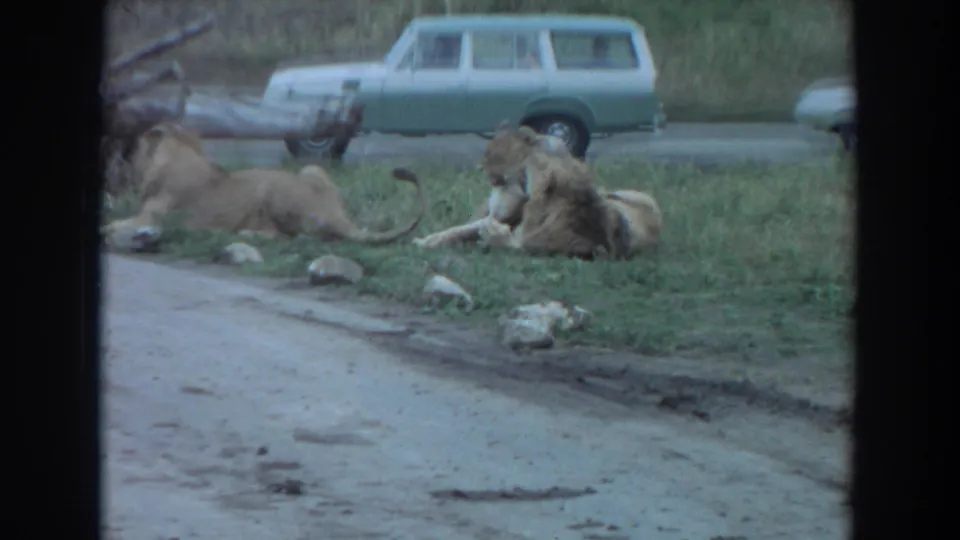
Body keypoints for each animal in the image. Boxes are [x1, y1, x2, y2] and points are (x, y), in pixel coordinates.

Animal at [102, 122, 427, 249]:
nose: (121, 154)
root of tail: (337, 215)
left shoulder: (151, 218)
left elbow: (115, 223)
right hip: (312, 169)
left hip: (273, 189)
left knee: (294, 237)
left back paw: (247, 234)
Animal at [411, 122, 662, 259]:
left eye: (496, 155)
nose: (480, 167)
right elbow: (458, 229)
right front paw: (425, 240)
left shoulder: (534, 243)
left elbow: (509, 241)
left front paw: (488, 234)